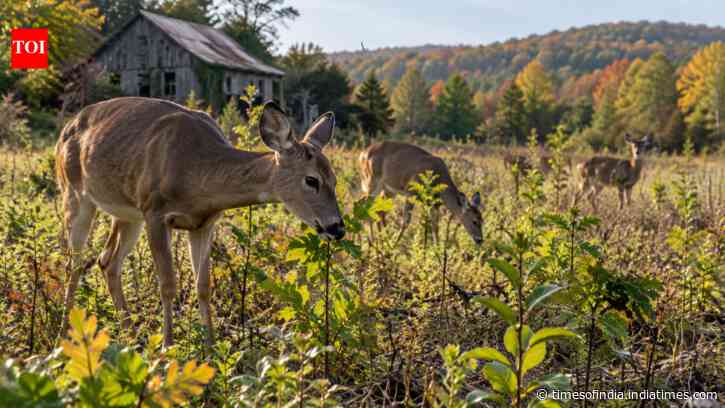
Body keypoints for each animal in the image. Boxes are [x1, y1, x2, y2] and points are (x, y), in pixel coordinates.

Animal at [56, 96, 344, 347]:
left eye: (334, 179)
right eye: (311, 180)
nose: (337, 227)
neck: (195, 174)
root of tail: (67, 128)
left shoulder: (204, 224)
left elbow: (203, 287)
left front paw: (212, 349)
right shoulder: (155, 213)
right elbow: (168, 285)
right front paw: (167, 348)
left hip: (127, 214)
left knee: (107, 261)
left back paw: (131, 338)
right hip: (74, 193)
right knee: (74, 263)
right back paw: (63, 334)